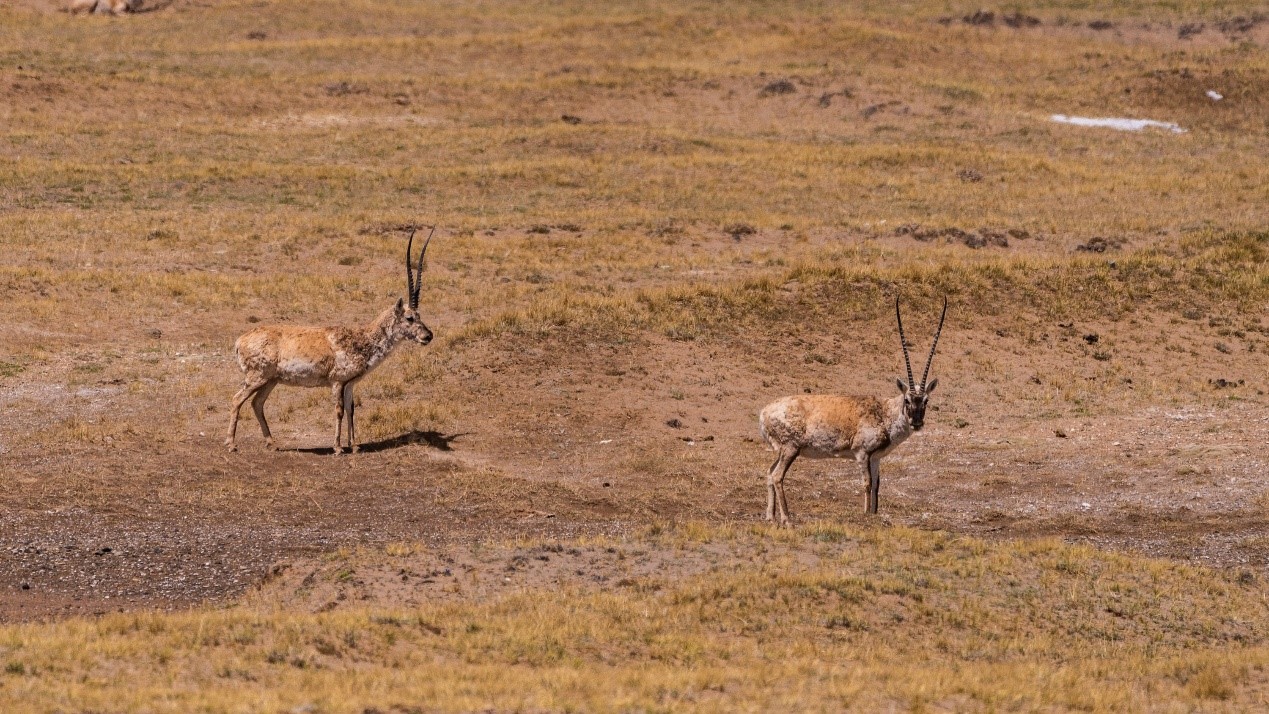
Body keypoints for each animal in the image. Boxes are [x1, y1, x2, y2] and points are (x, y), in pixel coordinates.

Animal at [220, 229, 433, 451]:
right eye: (409, 318)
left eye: (419, 316)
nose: (428, 336)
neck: (361, 339)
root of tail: (240, 341)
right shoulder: (337, 382)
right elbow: (339, 410)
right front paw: (338, 447)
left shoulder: (350, 384)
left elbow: (351, 409)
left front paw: (354, 446)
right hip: (257, 377)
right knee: (237, 399)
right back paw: (231, 444)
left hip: (270, 380)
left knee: (257, 403)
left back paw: (273, 444)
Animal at [756, 296, 949, 525]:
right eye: (907, 400)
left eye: (926, 400)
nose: (917, 423)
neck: (884, 412)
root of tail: (764, 413)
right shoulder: (862, 454)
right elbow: (867, 484)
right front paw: (865, 514)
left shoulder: (875, 458)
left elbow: (877, 486)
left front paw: (874, 514)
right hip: (790, 449)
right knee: (777, 476)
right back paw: (786, 519)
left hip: (782, 451)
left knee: (769, 473)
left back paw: (770, 517)